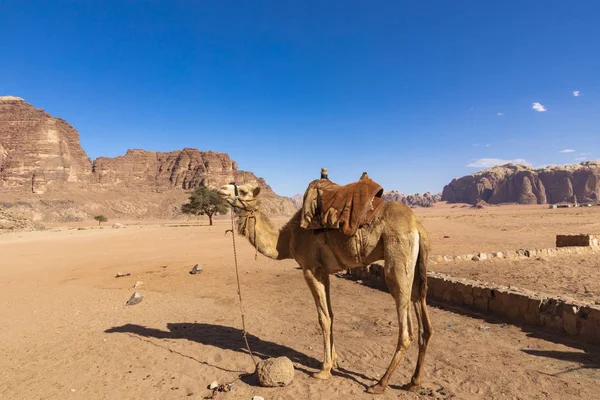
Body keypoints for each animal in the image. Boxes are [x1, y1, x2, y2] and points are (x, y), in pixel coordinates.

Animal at [218, 182, 434, 394]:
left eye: (243, 191)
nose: (220, 189)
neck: (287, 240)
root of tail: (417, 226)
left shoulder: (311, 269)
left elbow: (323, 318)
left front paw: (324, 370)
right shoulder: (325, 271)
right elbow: (331, 314)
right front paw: (335, 361)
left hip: (397, 264)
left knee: (406, 331)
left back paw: (380, 384)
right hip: (416, 269)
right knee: (425, 323)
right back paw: (413, 382)